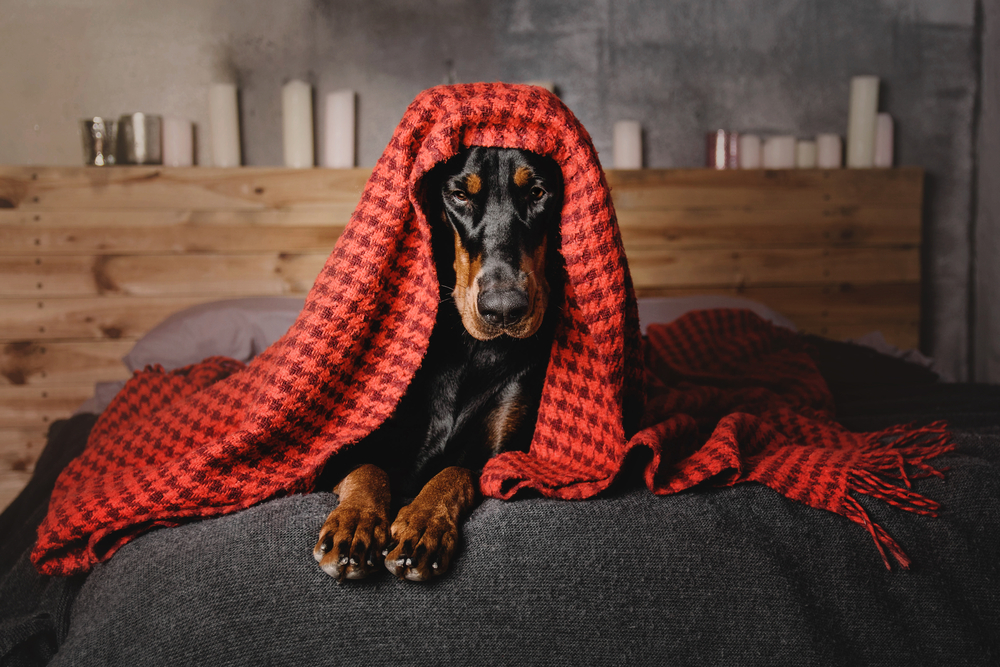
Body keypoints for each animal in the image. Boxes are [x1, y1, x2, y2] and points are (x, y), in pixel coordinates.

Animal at [312, 145, 564, 580]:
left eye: (537, 192)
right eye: (460, 196)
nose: (503, 309)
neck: (470, 347)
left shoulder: (503, 459)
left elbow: (456, 472)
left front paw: (424, 522)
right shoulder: (340, 447)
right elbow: (369, 469)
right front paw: (356, 523)